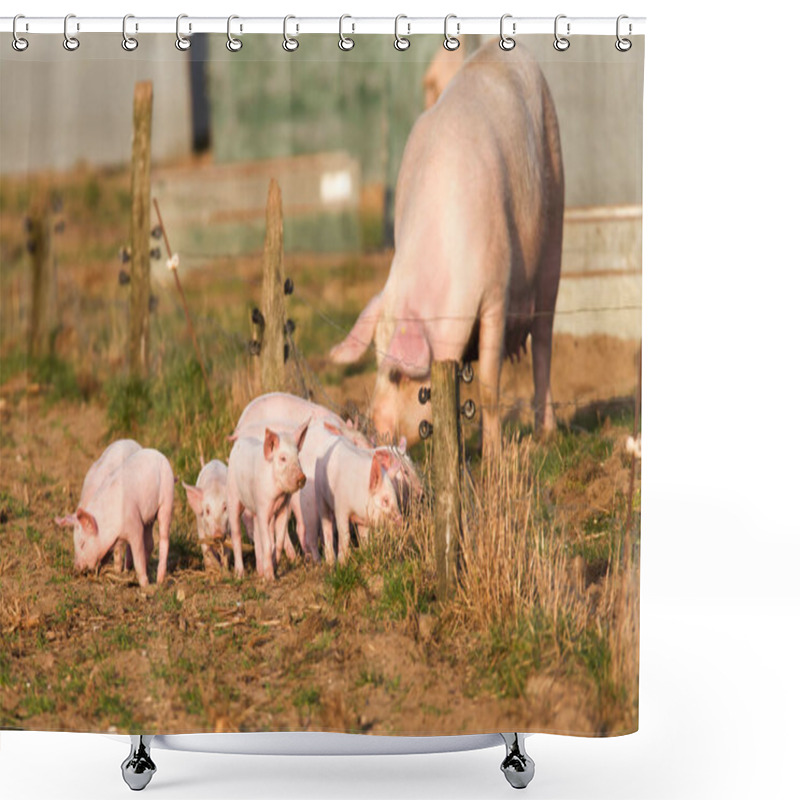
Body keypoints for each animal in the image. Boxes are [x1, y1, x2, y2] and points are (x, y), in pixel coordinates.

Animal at [56, 450, 175, 588]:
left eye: (82, 544)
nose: (76, 568)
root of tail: (158, 454)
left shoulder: (134, 524)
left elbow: (138, 554)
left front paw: (144, 585)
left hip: (167, 498)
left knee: (164, 538)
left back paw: (159, 581)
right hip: (148, 516)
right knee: (150, 542)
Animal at [328, 42, 564, 456]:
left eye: (398, 375)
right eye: (376, 363)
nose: (373, 429)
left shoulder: (495, 291)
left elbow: (488, 382)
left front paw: (493, 458)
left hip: (555, 217)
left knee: (544, 339)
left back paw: (545, 433)